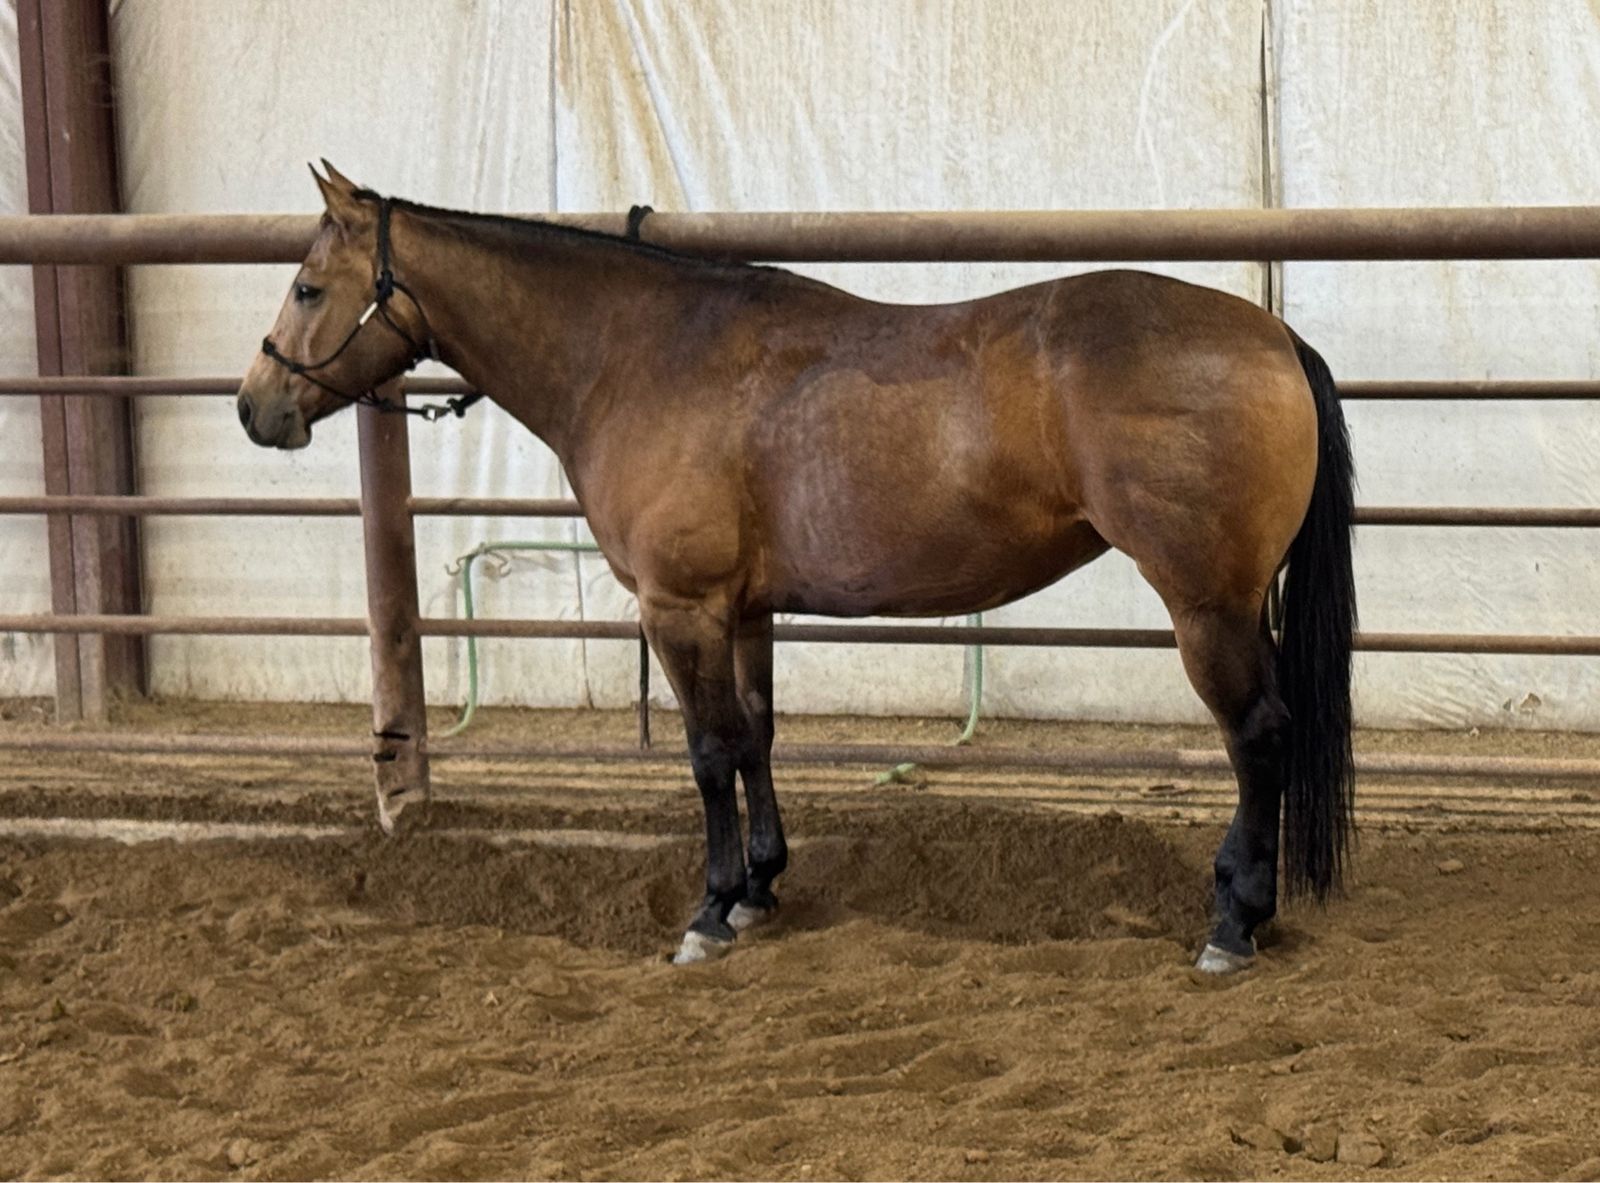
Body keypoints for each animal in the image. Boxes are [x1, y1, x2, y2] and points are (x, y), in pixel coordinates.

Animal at [237, 163, 1356, 974]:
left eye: (307, 286)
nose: (256, 407)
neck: (640, 356)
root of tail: (1271, 334)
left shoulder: (678, 607)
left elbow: (706, 751)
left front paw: (709, 909)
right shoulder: (744, 610)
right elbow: (755, 735)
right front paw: (760, 888)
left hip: (1205, 604)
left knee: (1258, 736)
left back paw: (1233, 922)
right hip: (1237, 603)